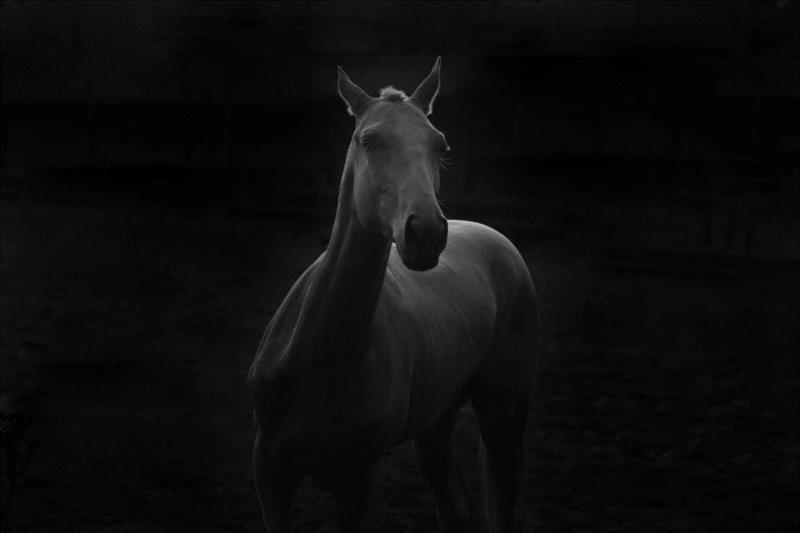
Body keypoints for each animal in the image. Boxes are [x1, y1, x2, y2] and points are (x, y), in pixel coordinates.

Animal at [248, 57, 539, 533]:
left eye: (441, 145)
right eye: (368, 140)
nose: (426, 232)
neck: (321, 357)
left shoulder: (354, 482)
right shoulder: (270, 473)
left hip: (505, 417)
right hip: (436, 422)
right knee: (455, 506)